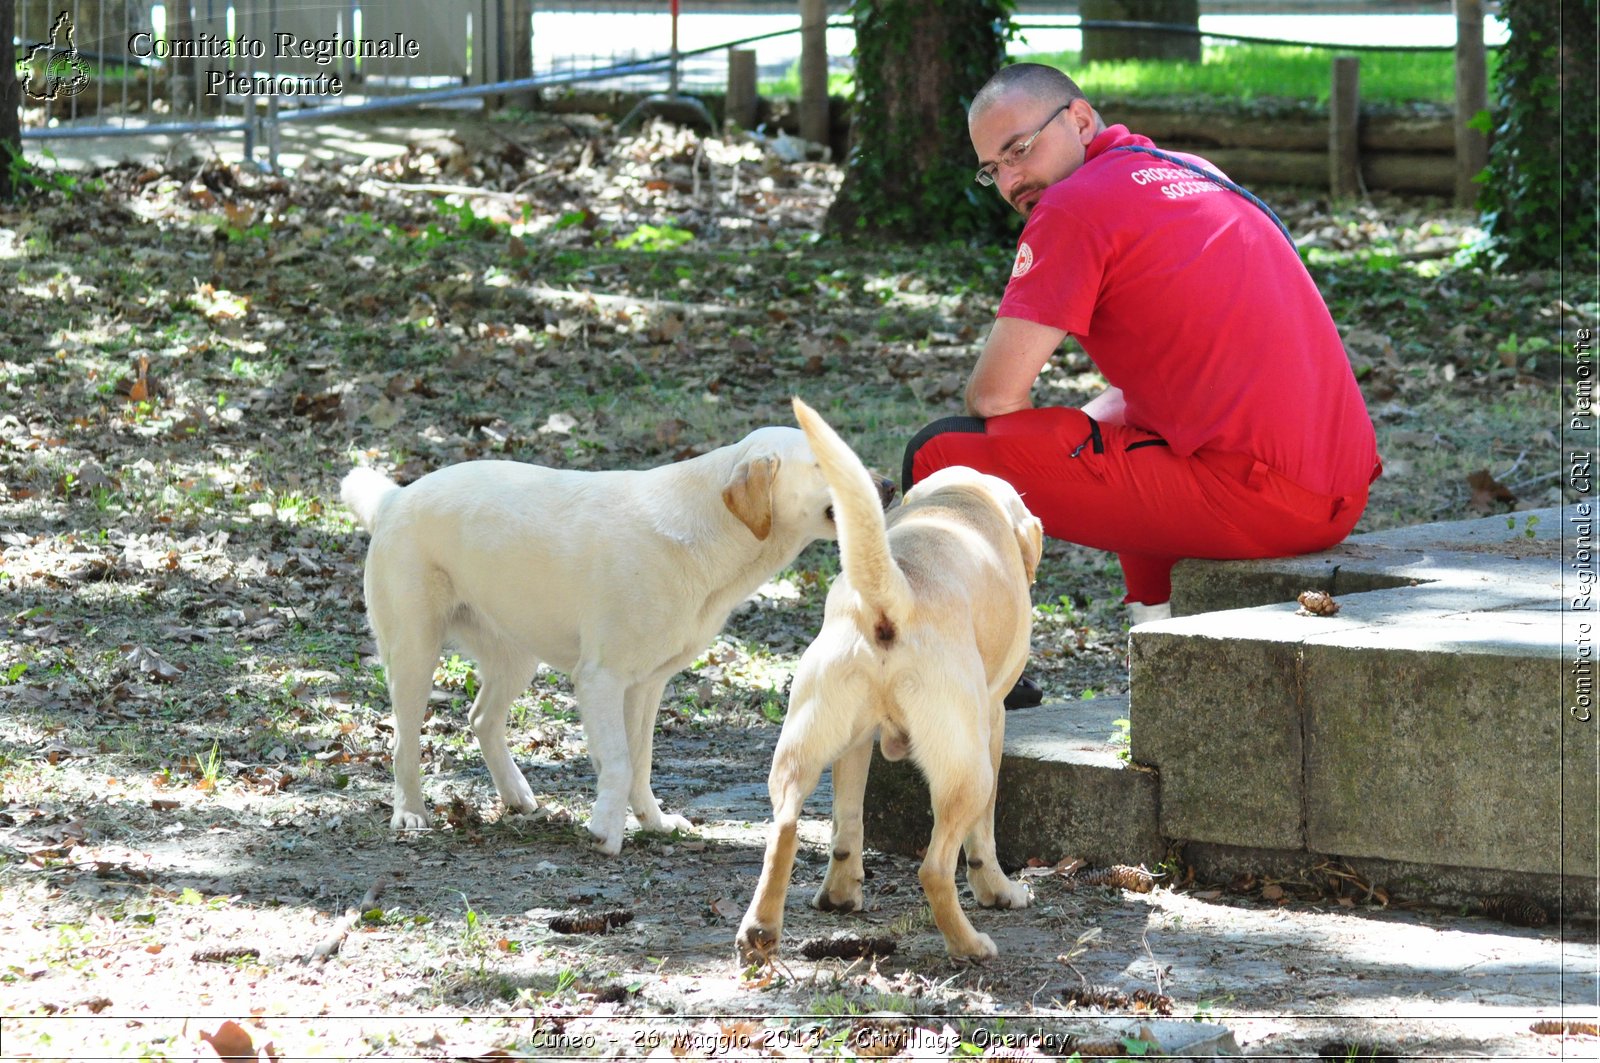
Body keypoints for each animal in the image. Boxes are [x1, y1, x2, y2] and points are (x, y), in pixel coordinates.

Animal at [339, 425, 876, 858]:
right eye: (824, 463)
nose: (885, 487)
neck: (710, 530)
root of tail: (395, 499)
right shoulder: (602, 679)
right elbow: (618, 761)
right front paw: (605, 832)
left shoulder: (646, 686)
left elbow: (640, 763)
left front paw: (653, 823)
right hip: (415, 653)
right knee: (406, 740)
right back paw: (410, 812)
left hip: (516, 658)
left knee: (481, 717)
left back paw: (515, 794)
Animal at [732, 398, 1043, 960]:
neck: (958, 504)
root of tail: (892, 595)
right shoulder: (993, 722)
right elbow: (984, 837)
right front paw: (999, 891)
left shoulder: (858, 745)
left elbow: (848, 821)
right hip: (966, 771)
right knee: (936, 867)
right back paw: (969, 944)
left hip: (804, 748)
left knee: (788, 830)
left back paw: (777, 923)